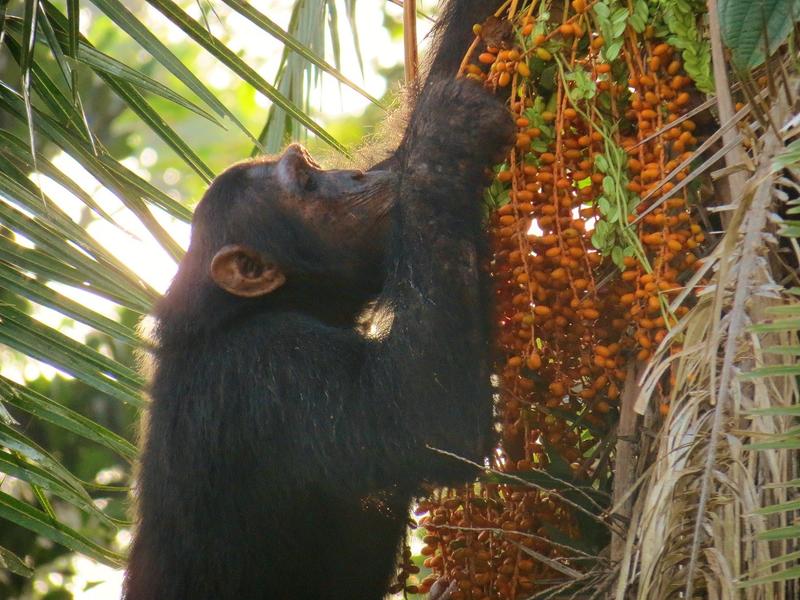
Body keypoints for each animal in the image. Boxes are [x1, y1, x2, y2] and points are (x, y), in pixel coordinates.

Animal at [125, 2, 512, 596]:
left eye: (311, 167)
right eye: (306, 184)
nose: (351, 176)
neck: (245, 313)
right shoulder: (273, 371)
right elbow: (426, 414)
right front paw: (445, 136)